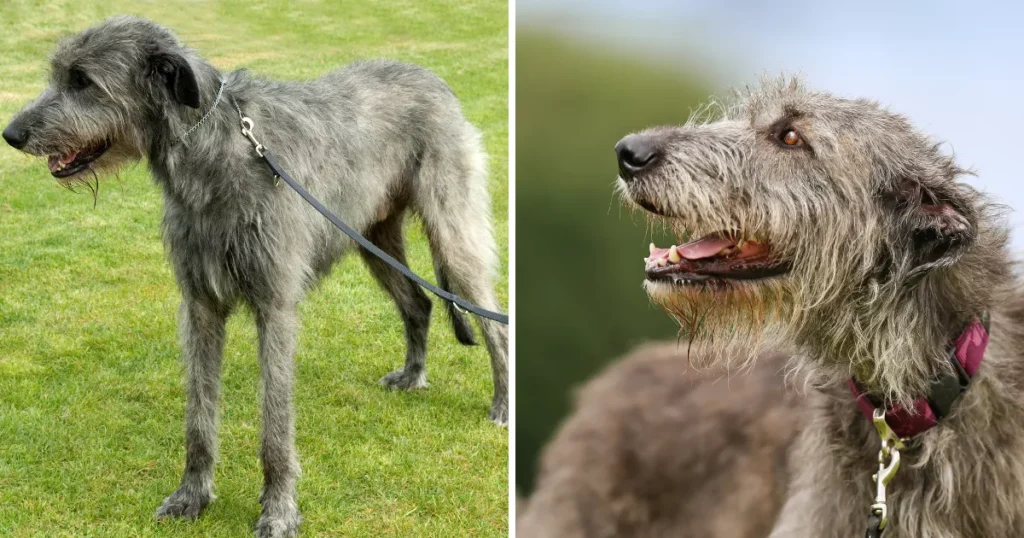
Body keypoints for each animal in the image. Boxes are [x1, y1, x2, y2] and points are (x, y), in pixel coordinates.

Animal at [3, 16, 507, 536]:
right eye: (59, 74)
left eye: (82, 81)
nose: (12, 134)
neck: (212, 150)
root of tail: (435, 80)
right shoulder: (200, 305)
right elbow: (199, 414)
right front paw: (192, 495)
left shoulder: (275, 305)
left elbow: (275, 423)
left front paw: (279, 510)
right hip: (372, 235)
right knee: (419, 302)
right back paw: (413, 375)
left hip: (452, 229)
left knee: (491, 316)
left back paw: (502, 404)